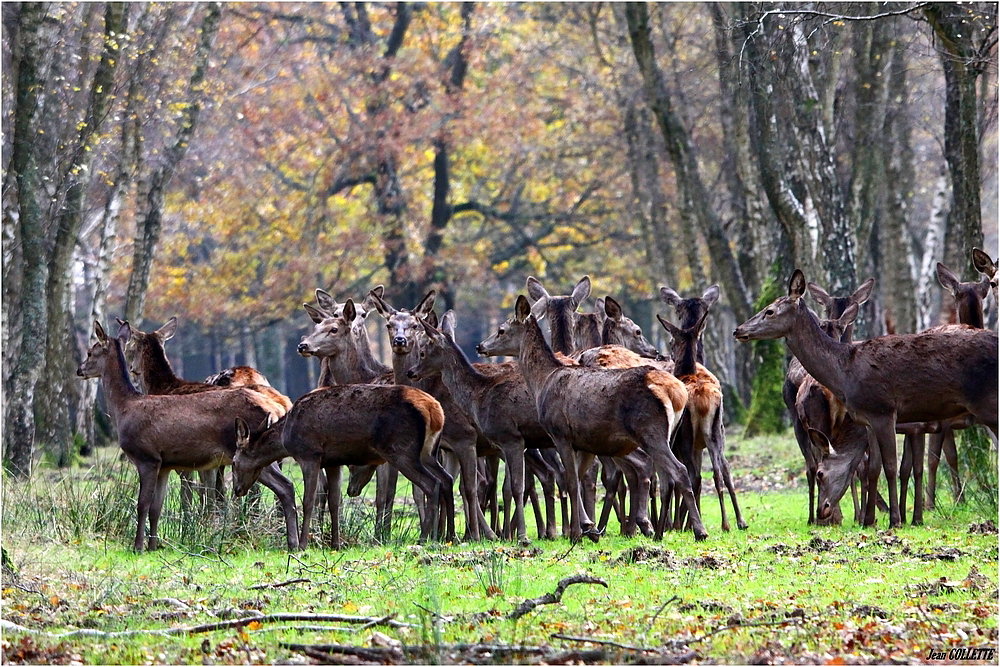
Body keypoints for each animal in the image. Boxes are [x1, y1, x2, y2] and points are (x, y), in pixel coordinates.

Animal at [77, 320, 300, 552]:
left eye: (90, 352)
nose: (79, 370)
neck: (125, 408)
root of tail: (276, 407)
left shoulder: (147, 457)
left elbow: (143, 504)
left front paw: (137, 546)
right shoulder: (163, 465)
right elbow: (156, 508)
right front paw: (152, 546)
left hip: (247, 453)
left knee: (282, 487)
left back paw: (291, 542)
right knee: (285, 486)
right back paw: (294, 542)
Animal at [230, 380, 454, 548]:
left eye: (233, 462)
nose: (237, 489)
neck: (287, 437)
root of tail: (435, 410)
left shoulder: (309, 454)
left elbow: (309, 501)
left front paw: (303, 545)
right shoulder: (333, 462)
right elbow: (334, 502)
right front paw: (335, 544)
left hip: (401, 450)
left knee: (431, 484)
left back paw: (425, 538)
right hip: (428, 452)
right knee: (447, 479)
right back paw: (449, 536)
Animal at [478, 298, 700, 544]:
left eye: (501, 330)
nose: (480, 346)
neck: (543, 381)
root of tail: (677, 392)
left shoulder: (560, 433)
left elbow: (572, 482)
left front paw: (576, 534)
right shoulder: (583, 443)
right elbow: (578, 478)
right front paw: (588, 527)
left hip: (650, 430)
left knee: (678, 470)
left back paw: (697, 530)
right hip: (661, 435)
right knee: (666, 475)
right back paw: (659, 531)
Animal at [732, 270, 996, 528]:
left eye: (769, 310)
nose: (738, 330)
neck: (845, 372)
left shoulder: (884, 410)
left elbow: (891, 466)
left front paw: (895, 521)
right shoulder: (868, 419)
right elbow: (873, 468)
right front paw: (871, 520)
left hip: (986, 402)